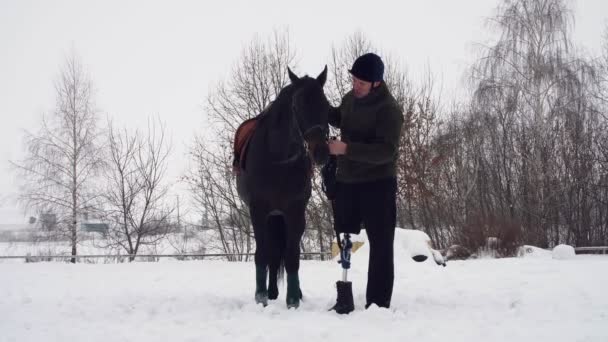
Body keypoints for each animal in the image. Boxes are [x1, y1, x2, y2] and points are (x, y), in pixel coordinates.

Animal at [235, 66, 330, 308]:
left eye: (326, 105)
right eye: (296, 106)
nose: (321, 152)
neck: (278, 158)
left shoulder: (295, 210)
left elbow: (292, 256)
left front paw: (294, 299)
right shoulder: (258, 210)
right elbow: (262, 253)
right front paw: (261, 297)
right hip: (271, 216)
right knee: (270, 253)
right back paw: (269, 292)